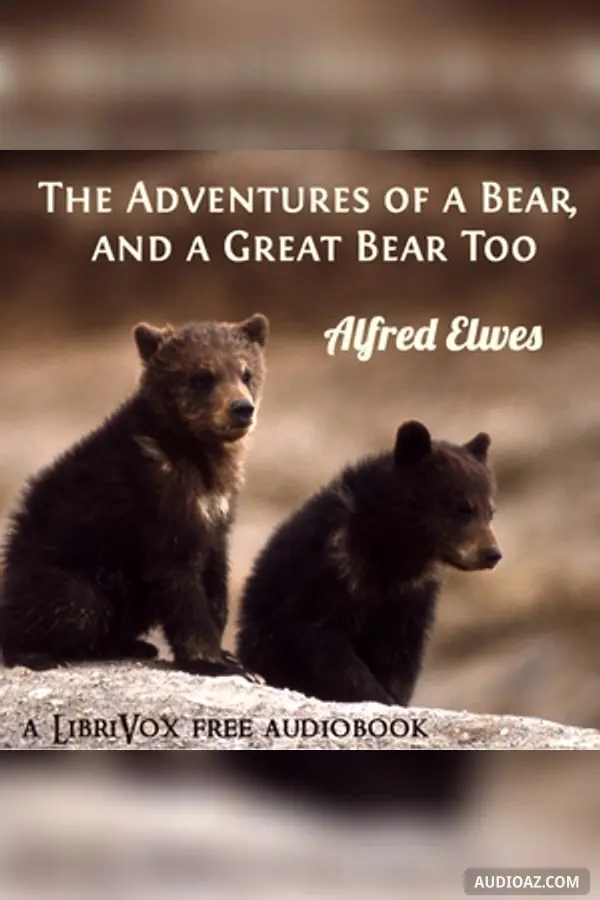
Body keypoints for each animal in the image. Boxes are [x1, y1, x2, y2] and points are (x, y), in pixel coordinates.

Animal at [0, 313, 269, 679]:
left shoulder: (217, 511)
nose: (242, 408)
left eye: (246, 372)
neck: (199, 455)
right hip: (59, 568)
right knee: (78, 601)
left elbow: (215, 573)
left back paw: (133, 644)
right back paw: (38, 653)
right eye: (203, 375)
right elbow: (179, 581)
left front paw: (230, 655)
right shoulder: (156, 503)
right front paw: (212, 661)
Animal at [236, 420, 501, 705]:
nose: (492, 553)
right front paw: (373, 693)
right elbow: (325, 647)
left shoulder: (409, 600)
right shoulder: (320, 581)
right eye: (461, 507)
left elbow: (399, 657)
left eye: (490, 511)